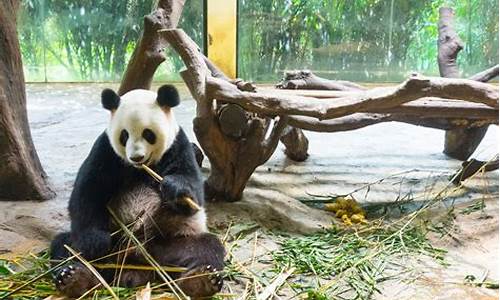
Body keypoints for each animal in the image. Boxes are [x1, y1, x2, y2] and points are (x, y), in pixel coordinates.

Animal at [48, 84, 225, 298]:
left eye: (148, 133)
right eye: (124, 135)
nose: (136, 157)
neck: (140, 169)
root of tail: (136, 266)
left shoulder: (177, 145)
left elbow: (193, 192)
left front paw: (175, 188)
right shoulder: (105, 149)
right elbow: (88, 192)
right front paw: (95, 243)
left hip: (173, 243)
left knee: (207, 248)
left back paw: (200, 281)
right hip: (110, 243)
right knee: (65, 246)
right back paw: (76, 277)